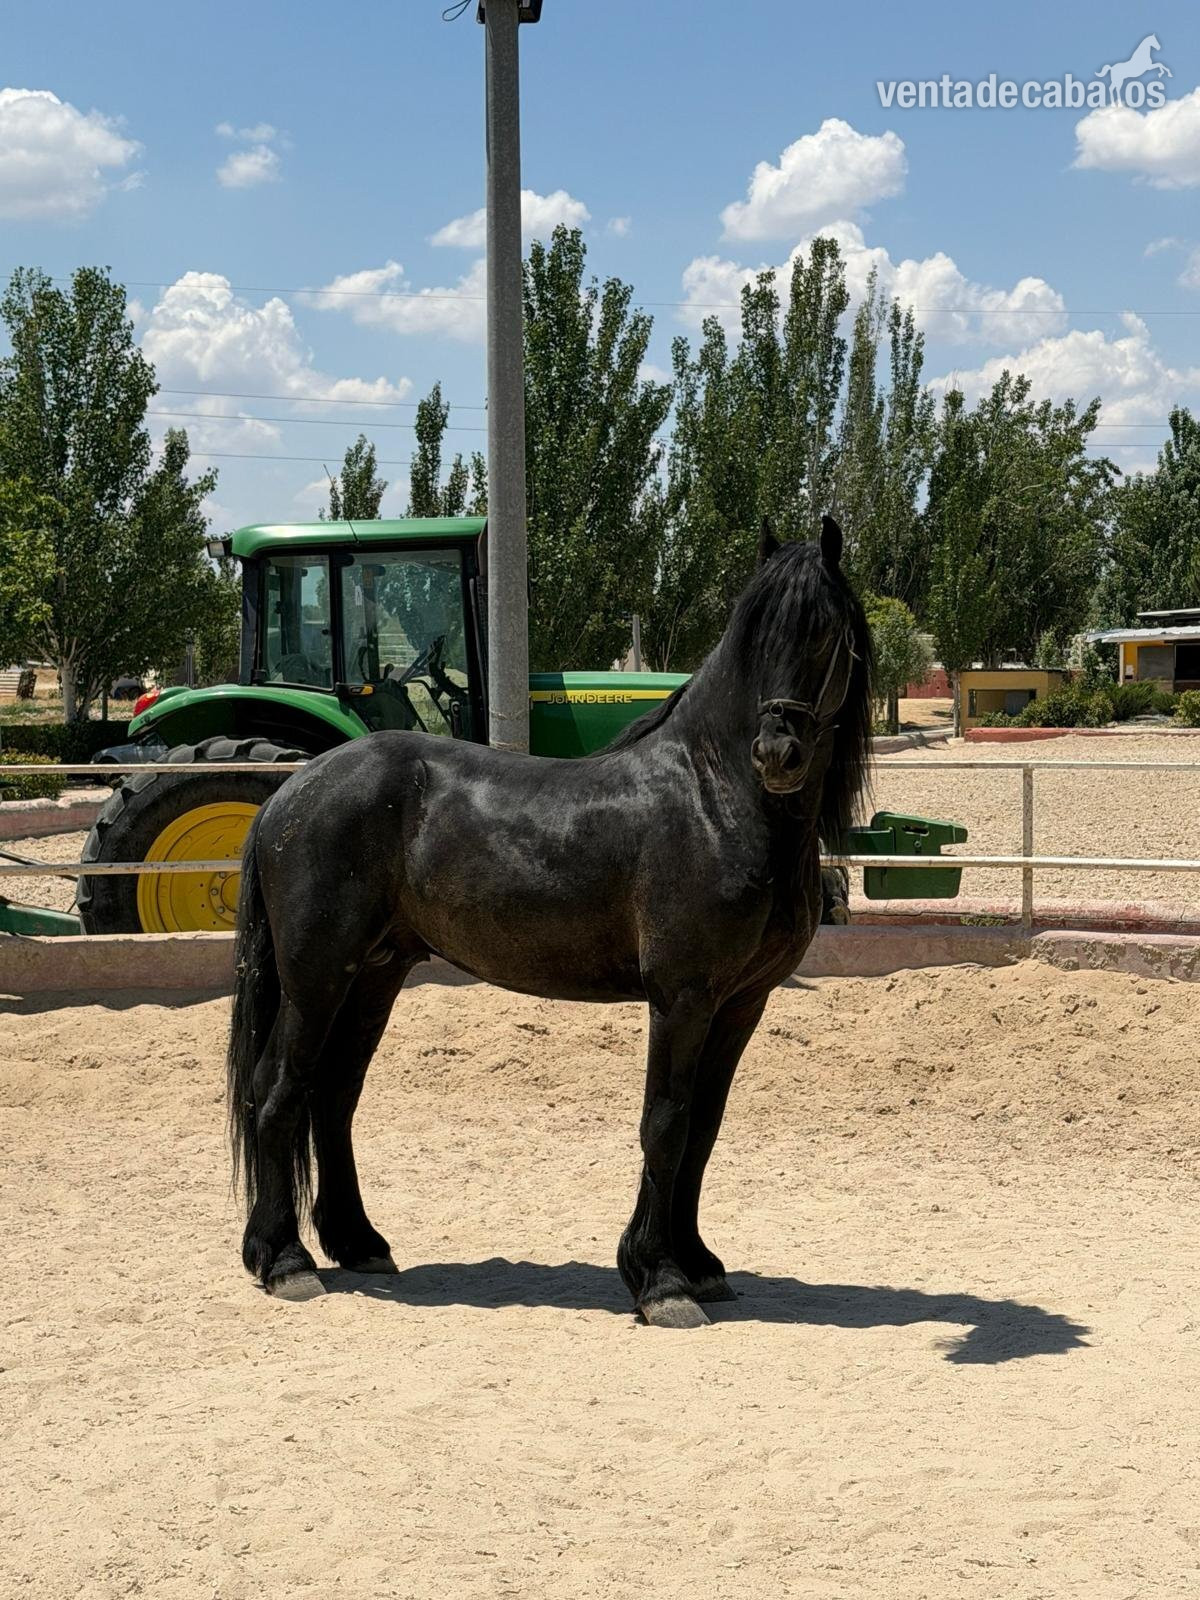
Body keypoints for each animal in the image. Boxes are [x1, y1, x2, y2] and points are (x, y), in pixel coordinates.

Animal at [226, 515, 872, 1328]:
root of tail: (292, 792)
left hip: (372, 977)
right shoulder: (682, 999)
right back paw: (284, 1261)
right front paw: (658, 1280)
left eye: (823, 632)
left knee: (333, 1098)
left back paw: (357, 1243)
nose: (776, 752)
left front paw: (698, 1264)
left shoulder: (740, 1004)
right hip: (315, 979)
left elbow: (704, 1129)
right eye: (755, 633)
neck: (713, 795)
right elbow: (666, 1124)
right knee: (279, 1092)